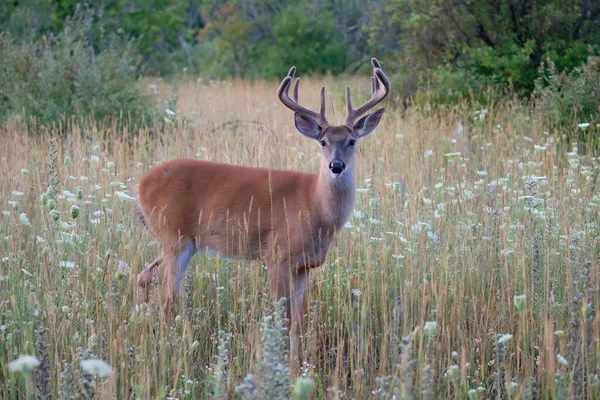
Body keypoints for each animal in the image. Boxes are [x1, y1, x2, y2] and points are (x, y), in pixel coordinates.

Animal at [134, 57, 392, 366]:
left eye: (352, 141)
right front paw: (280, 365)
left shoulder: (304, 266)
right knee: (167, 297)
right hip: (174, 235)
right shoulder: (277, 255)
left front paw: (297, 366)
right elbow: (284, 320)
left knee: (145, 277)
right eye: (323, 142)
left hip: (183, 241)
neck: (315, 207)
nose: (337, 166)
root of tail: (140, 184)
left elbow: (300, 323)